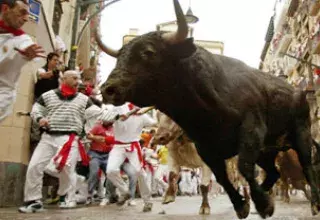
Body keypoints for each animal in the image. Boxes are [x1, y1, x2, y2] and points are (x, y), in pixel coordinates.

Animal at [96, 0, 320, 218]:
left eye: (148, 52)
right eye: (119, 57)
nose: (108, 89)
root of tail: (297, 92)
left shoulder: (251, 132)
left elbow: (244, 168)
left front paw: (262, 205)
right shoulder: (206, 147)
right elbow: (221, 177)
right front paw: (244, 205)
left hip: (301, 135)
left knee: (307, 167)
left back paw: (312, 203)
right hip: (267, 150)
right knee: (274, 172)